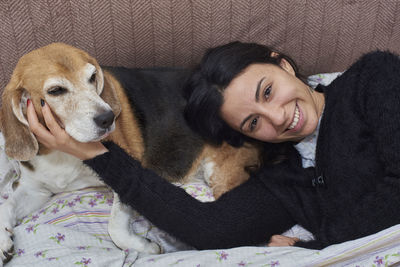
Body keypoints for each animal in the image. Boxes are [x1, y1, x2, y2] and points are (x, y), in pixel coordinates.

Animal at [0, 42, 260, 264]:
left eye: (92, 77)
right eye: (55, 90)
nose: (107, 118)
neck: (63, 151)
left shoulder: (126, 176)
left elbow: (115, 226)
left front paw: (145, 247)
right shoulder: (36, 190)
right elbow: (7, 204)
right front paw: (4, 241)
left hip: (222, 174)